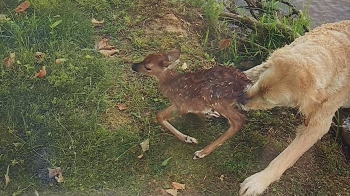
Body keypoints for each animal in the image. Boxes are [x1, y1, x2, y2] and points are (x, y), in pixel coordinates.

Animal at [239, 20, 350, 195]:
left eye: (269, 100)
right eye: (260, 84)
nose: (241, 99)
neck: (332, 50)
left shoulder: (318, 125)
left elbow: (286, 157)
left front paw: (258, 181)